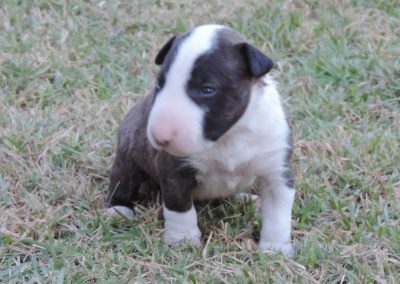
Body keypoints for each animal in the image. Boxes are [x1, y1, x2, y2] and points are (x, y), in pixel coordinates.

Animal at [104, 25, 296, 255]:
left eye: (208, 89)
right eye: (160, 83)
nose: (159, 137)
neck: (228, 137)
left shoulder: (277, 169)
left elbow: (278, 213)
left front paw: (275, 249)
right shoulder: (173, 168)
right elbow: (179, 208)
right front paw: (182, 241)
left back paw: (244, 198)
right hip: (128, 153)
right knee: (123, 179)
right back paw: (118, 209)